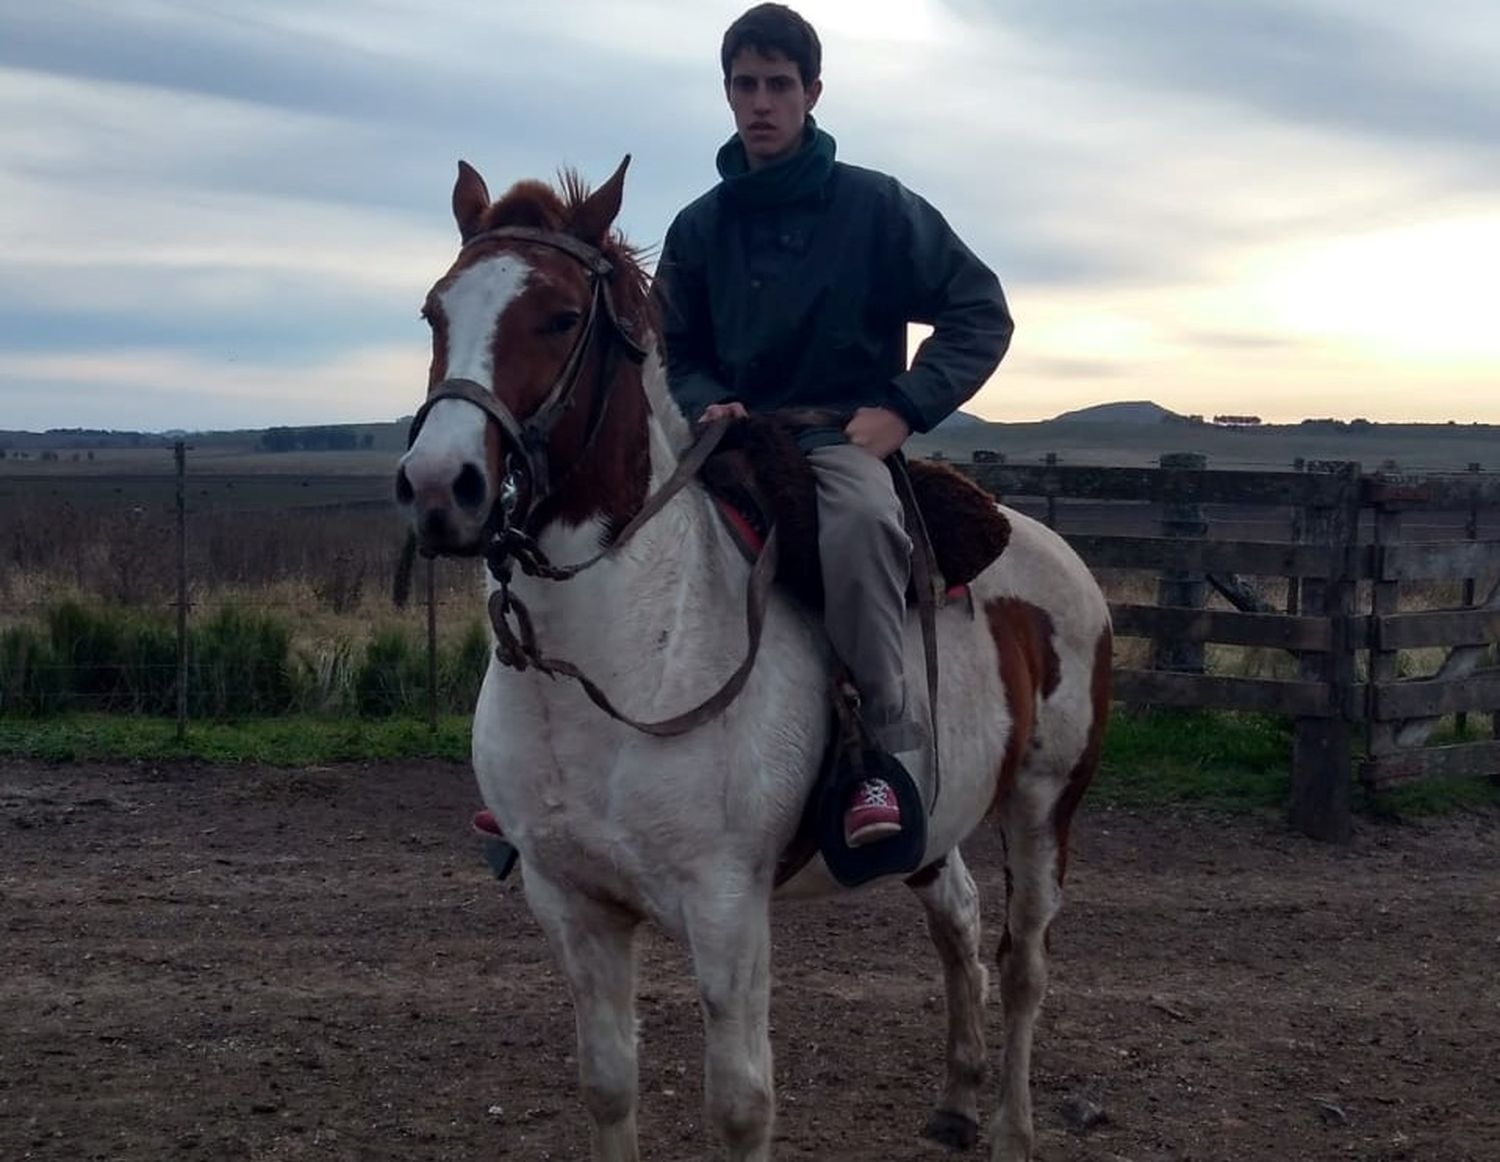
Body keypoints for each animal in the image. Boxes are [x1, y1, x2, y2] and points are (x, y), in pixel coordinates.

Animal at [396, 156, 1116, 1162]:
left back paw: (1012, 1128)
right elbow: (606, 1084)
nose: (439, 489)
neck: (619, 662)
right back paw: (958, 1100)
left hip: (1045, 806)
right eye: (435, 312)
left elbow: (740, 1104)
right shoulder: (570, 902)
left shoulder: (727, 909)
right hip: (936, 823)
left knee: (1023, 968)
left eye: (560, 317)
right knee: (961, 926)